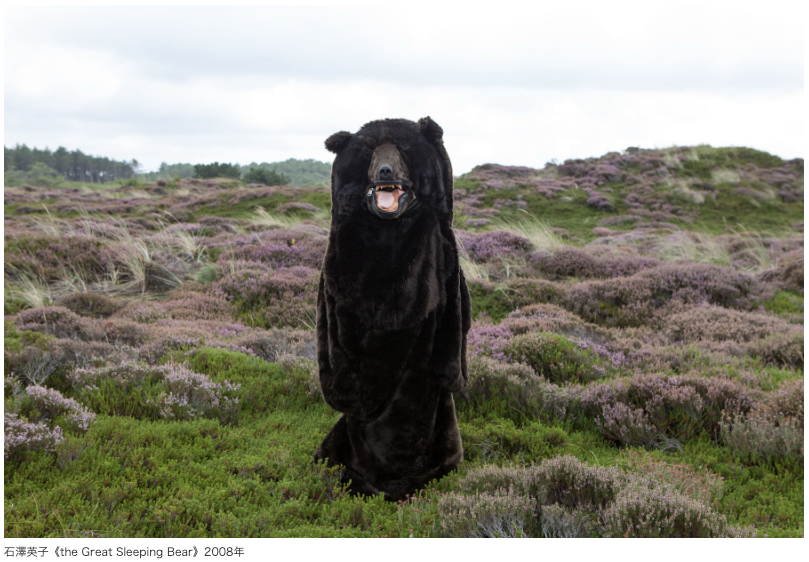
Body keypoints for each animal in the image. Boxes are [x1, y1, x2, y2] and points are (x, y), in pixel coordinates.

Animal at [313, 117, 472, 501]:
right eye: (369, 153)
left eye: (403, 151)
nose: (385, 170)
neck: (387, 231)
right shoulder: (333, 284)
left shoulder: (442, 254)